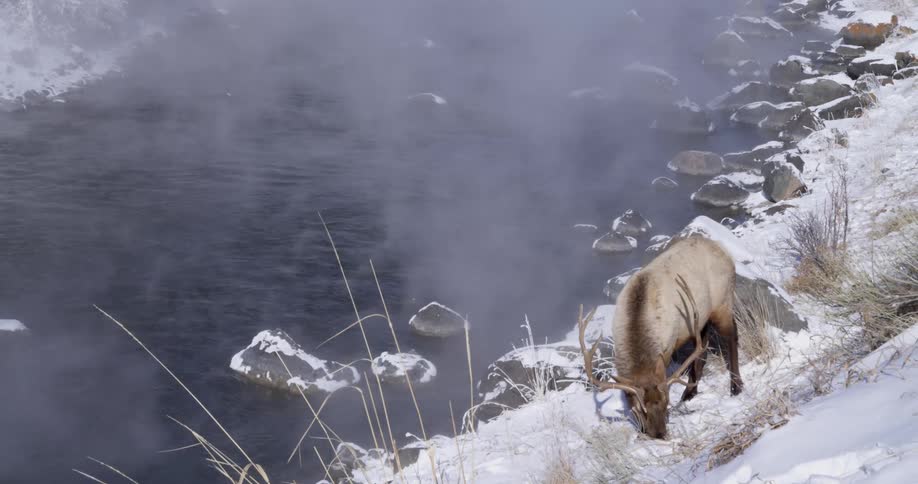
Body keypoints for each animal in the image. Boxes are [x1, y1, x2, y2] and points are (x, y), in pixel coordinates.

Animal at [579, 236, 743, 439]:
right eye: (640, 410)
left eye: (666, 404)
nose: (659, 434)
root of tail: (724, 251)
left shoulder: (668, 347)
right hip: (700, 317)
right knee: (703, 346)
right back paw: (690, 392)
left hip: (722, 301)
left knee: (732, 334)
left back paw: (736, 386)